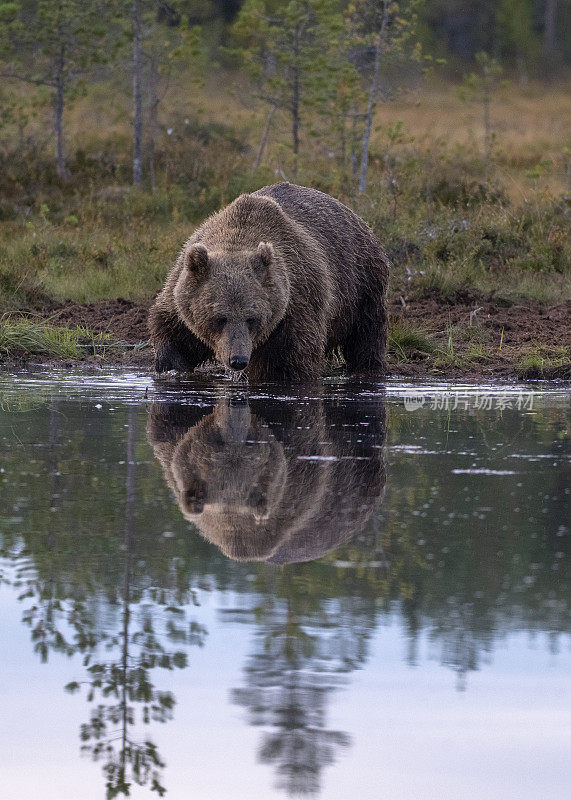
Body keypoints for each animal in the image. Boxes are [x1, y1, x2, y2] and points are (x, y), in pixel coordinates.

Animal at [149, 181, 388, 382]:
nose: (238, 360)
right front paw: (173, 366)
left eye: (252, 318)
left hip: (361, 282)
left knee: (367, 333)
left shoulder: (295, 304)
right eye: (219, 318)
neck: (238, 236)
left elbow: (289, 360)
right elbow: (173, 330)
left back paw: (367, 369)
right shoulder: (181, 288)